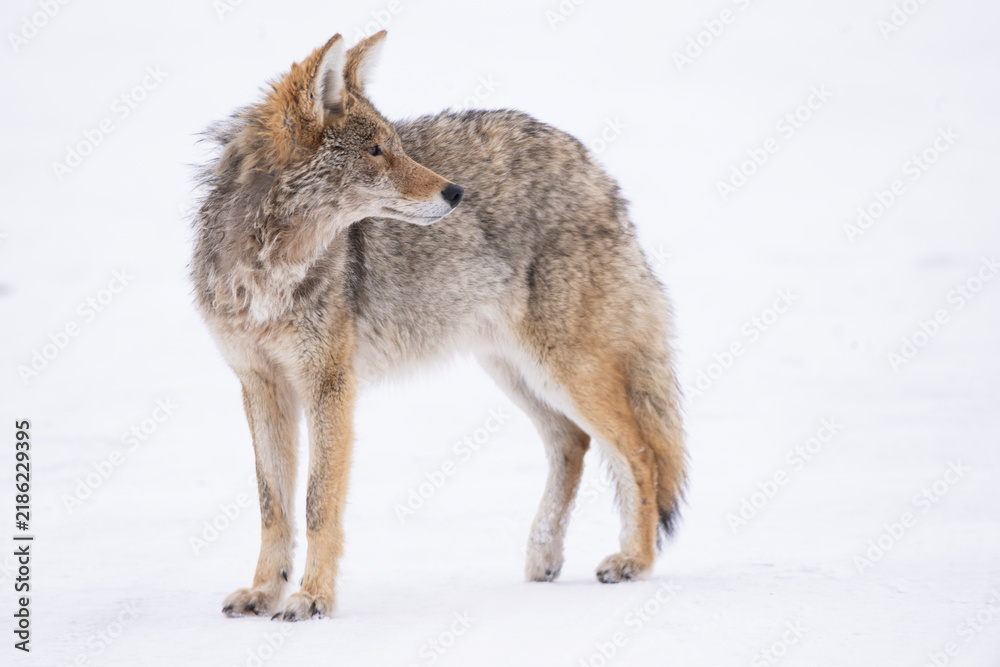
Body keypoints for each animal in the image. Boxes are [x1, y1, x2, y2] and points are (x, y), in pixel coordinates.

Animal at [191, 30, 686, 621]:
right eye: (376, 151)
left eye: (395, 145)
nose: (456, 193)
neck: (270, 265)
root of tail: (592, 164)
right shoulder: (260, 385)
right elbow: (274, 507)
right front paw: (266, 592)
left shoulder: (329, 383)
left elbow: (317, 504)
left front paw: (312, 599)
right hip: (515, 370)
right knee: (573, 442)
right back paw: (543, 556)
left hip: (565, 368)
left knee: (640, 453)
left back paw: (635, 561)